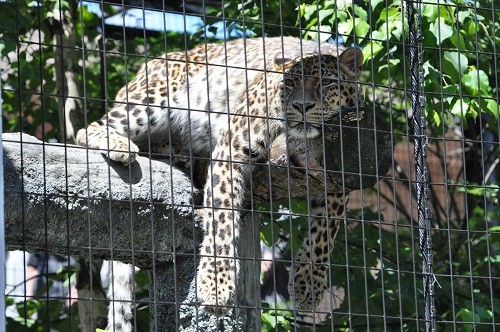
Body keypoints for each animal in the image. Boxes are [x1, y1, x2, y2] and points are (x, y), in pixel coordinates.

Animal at [75, 35, 364, 326]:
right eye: (289, 84)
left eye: (326, 83)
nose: (301, 106)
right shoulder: (232, 145)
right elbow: (222, 219)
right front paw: (215, 286)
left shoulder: (342, 169)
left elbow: (325, 229)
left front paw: (308, 285)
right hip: (153, 97)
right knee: (88, 129)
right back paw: (121, 146)